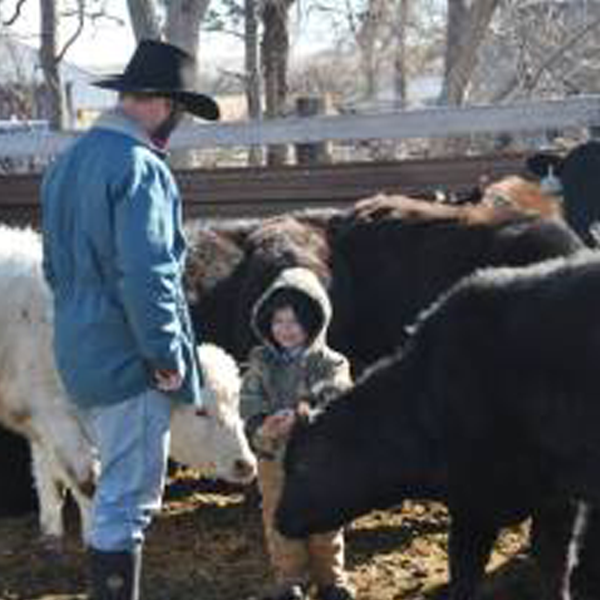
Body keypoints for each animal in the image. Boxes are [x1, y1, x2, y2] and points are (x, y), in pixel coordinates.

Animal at [0, 225, 255, 544]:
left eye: (236, 405)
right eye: (200, 410)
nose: (246, 464)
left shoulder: (41, 422)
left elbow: (48, 481)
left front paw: (51, 536)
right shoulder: (55, 417)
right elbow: (86, 484)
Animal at [278, 252, 600, 600]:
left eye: (302, 465)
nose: (279, 519)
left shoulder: (477, 500)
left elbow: (467, 567)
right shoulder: (555, 500)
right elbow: (554, 560)